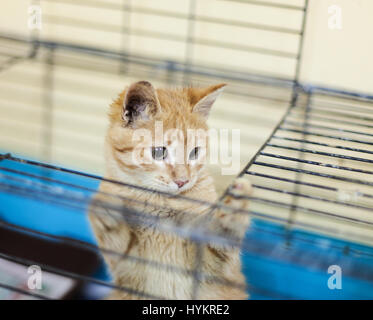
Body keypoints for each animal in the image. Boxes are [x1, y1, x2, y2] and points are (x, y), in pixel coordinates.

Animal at [88, 80, 250, 300]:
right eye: (158, 152)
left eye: (195, 152)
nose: (182, 181)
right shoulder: (127, 272)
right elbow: (117, 244)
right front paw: (107, 210)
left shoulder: (212, 271)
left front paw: (234, 208)